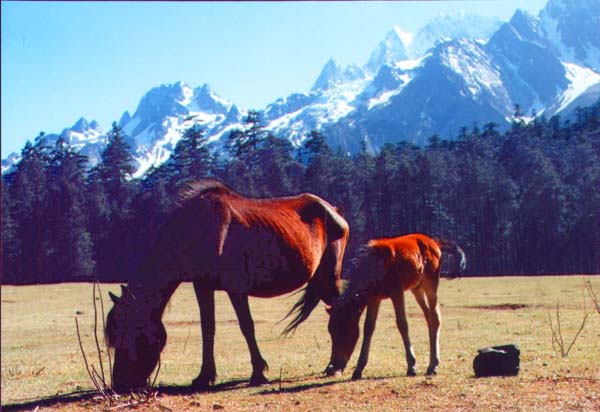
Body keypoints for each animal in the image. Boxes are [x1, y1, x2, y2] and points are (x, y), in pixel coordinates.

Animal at [105, 179, 350, 392]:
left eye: (131, 335)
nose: (120, 384)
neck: (197, 231)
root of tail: (334, 210)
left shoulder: (236, 288)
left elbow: (246, 326)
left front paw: (258, 373)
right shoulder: (202, 286)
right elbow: (208, 328)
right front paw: (204, 376)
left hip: (329, 277)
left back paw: (336, 366)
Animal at [326, 235, 466, 380]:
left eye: (344, 331)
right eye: (331, 331)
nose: (333, 367)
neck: (375, 265)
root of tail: (434, 242)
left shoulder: (396, 292)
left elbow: (402, 323)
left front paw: (411, 366)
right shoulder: (374, 298)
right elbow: (368, 327)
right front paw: (358, 369)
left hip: (431, 284)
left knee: (435, 317)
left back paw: (433, 365)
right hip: (416, 288)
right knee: (429, 317)